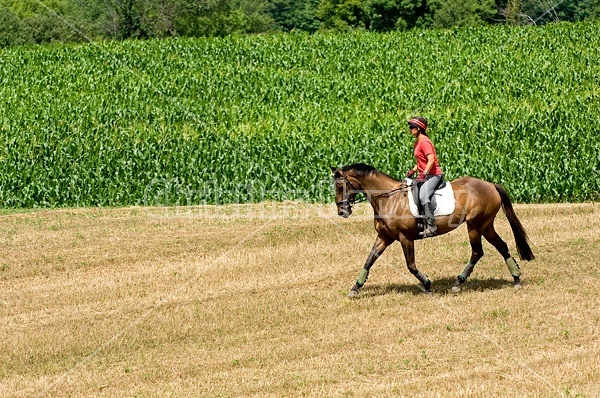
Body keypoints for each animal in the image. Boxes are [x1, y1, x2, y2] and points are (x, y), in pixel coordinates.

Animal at [332, 163, 536, 296]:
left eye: (341, 186)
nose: (342, 212)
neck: (388, 198)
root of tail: (491, 185)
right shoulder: (384, 237)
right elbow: (369, 260)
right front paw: (355, 288)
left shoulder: (405, 237)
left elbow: (411, 265)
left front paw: (427, 284)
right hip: (486, 225)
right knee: (502, 246)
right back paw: (516, 279)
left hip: (475, 225)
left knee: (477, 252)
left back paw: (458, 283)